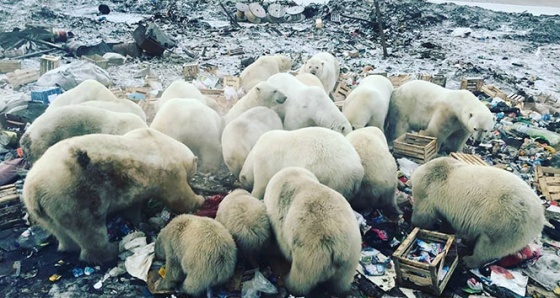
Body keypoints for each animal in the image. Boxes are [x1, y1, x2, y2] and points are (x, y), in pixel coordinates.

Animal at [23, 128, 206, 266]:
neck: (165, 145)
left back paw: (69, 246)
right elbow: (179, 197)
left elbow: (132, 206)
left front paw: (138, 221)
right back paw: (111, 249)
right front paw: (200, 200)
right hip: (75, 195)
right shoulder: (169, 172)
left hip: (47, 209)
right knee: (89, 229)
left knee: (60, 231)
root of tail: (34, 189)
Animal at [264, 168, 360, 296]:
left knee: (301, 277)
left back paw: (288, 282)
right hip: (352, 254)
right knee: (342, 281)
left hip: (312, 253)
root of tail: (339, 247)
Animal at [410, 156, 544, 268]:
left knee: (489, 246)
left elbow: (423, 215)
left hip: (506, 222)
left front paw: (415, 224)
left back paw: (468, 260)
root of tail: (540, 219)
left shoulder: (429, 188)